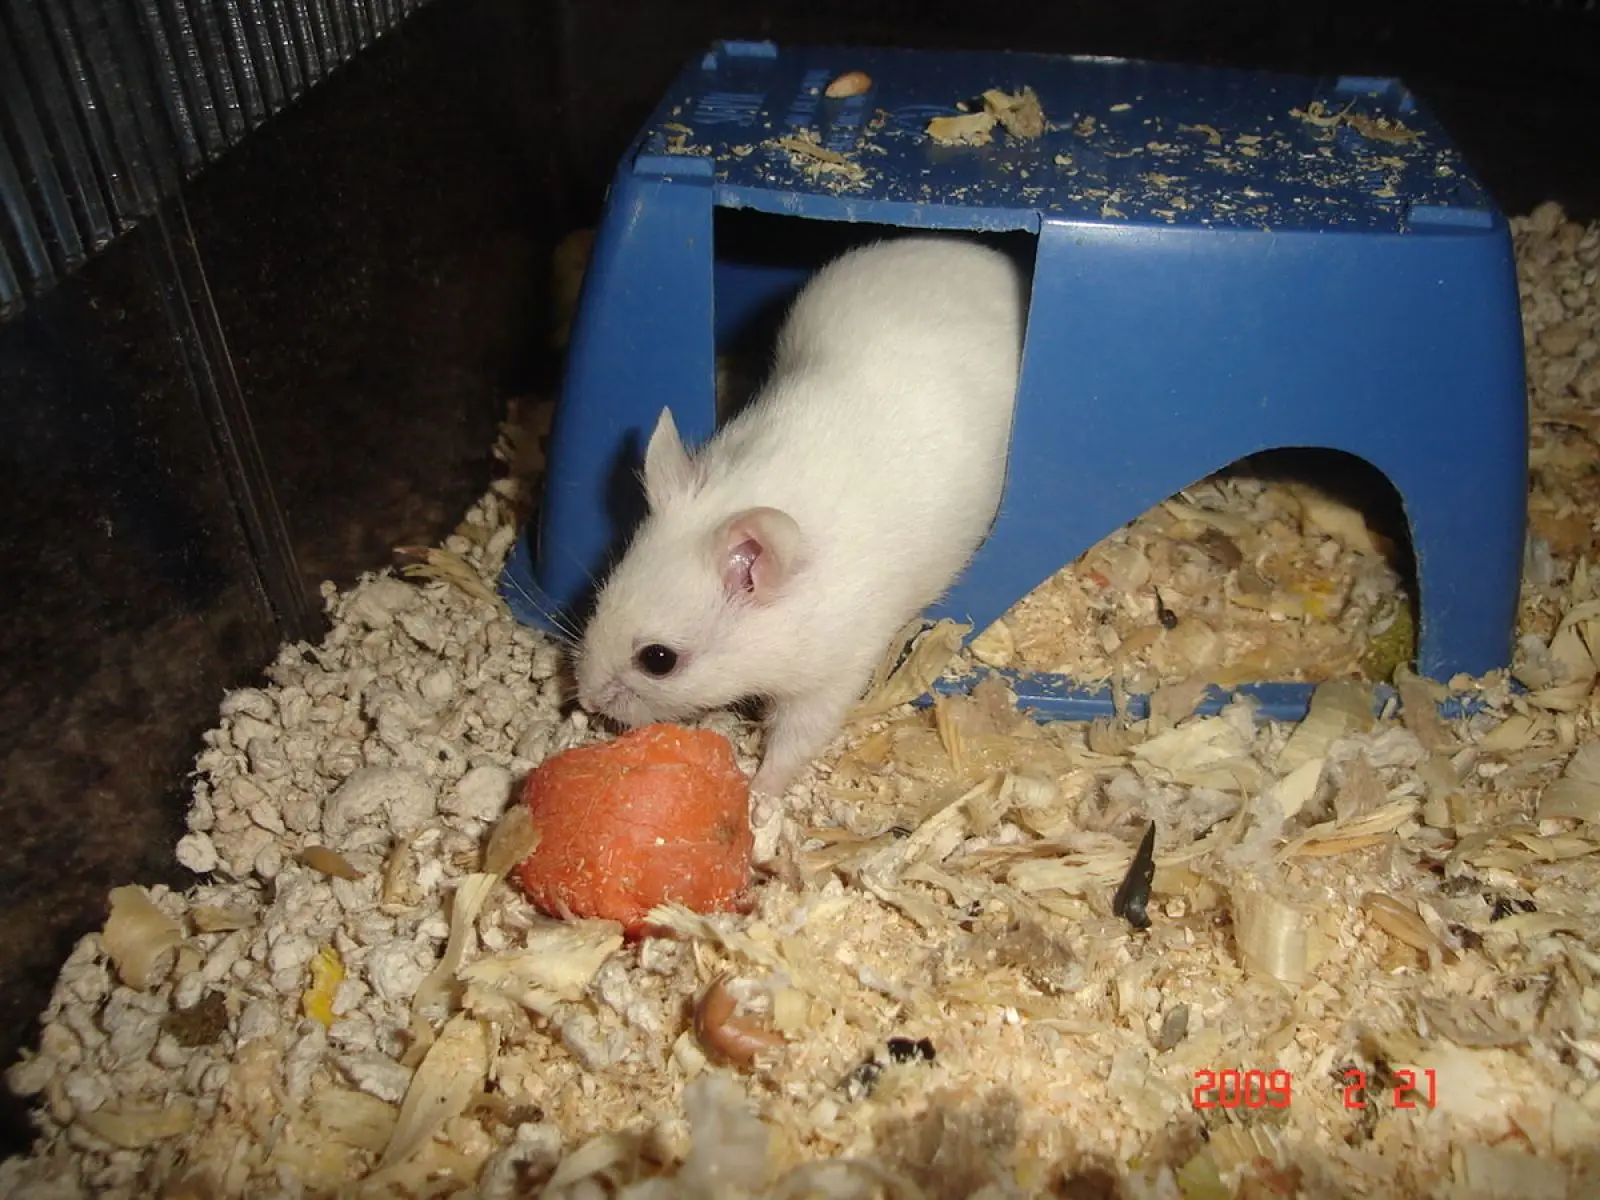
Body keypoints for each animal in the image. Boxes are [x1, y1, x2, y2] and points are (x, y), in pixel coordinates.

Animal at [575, 235, 1028, 796]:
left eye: (658, 660)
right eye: (597, 599)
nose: (584, 699)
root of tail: (993, 259)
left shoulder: (832, 675)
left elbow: (795, 738)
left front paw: (758, 793)